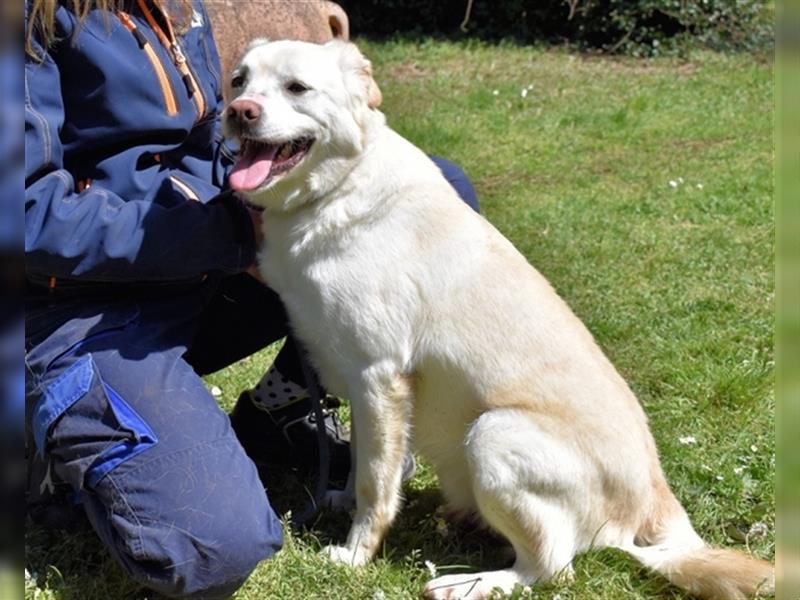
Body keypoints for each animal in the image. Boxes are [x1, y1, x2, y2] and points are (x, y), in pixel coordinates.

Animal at [222, 39, 772, 596]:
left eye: (297, 87)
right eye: (239, 81)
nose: (239, 112)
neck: (337, 188)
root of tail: (656, 500)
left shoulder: (379, 377)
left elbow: (376, 482)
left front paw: (356, 554)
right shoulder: (363, 385)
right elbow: (364, 462)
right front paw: (342, 501)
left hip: (492, 433)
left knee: (552, 568)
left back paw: (470, 582)